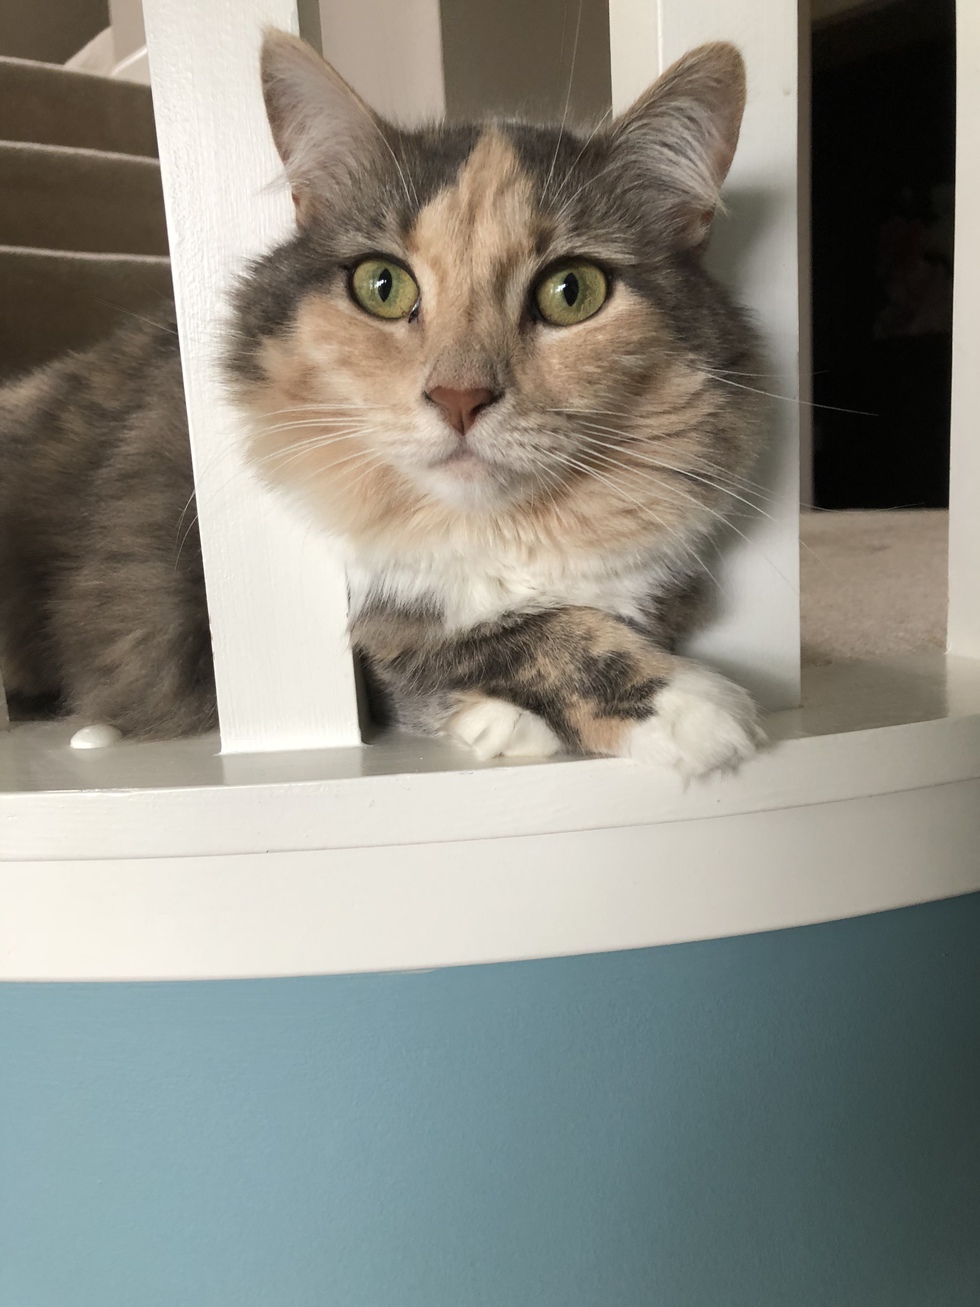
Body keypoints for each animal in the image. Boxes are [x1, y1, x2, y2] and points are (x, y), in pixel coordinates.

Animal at [0, 30, 766, 777]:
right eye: (383, 285)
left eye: (572, 291)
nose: (459, 398)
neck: (491, 532)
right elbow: (473, 642)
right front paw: (686, 709)